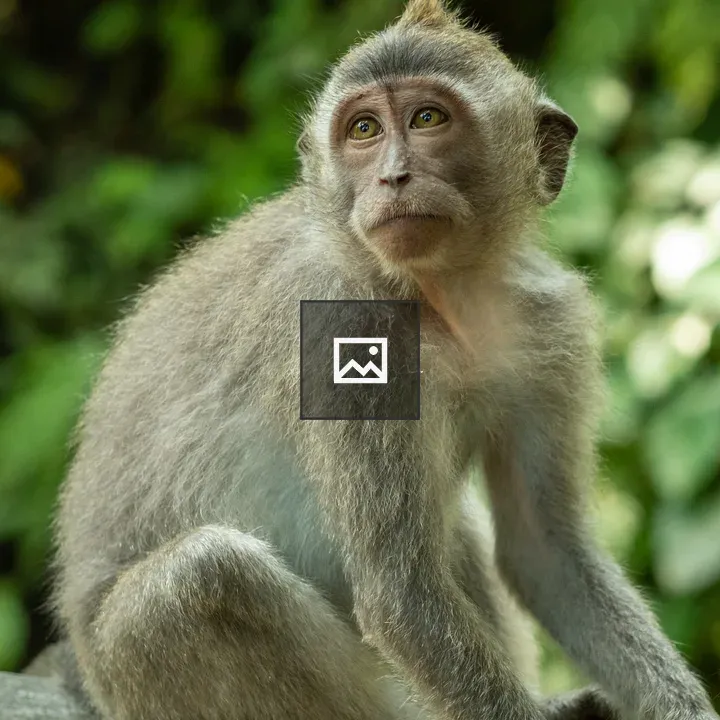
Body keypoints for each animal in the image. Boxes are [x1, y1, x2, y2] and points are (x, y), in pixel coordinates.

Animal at [36, 1, 719, 719]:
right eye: (363, 130)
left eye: (427, 119)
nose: (392, 177)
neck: (438, 294)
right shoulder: (346, 325)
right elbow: (403, 599)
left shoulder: (553, 328)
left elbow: (545, 548)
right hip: (136, 674)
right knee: (214, 573)